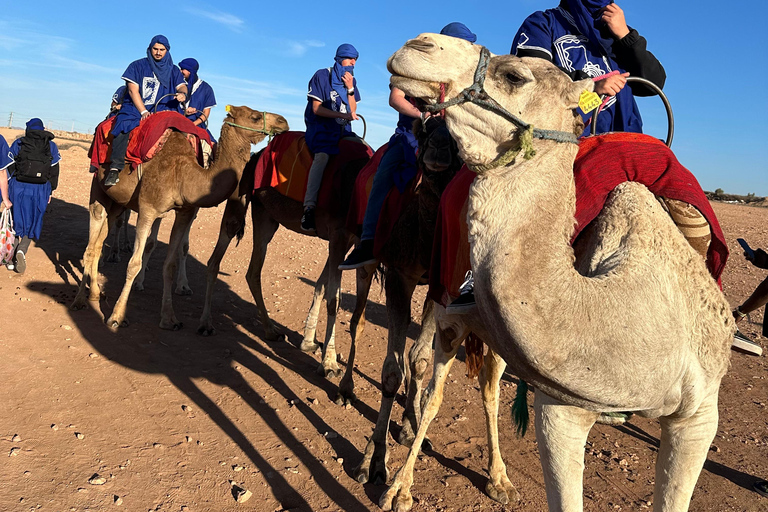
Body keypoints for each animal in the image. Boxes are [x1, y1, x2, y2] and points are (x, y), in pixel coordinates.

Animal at [72, 107, 290, 332]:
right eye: (254, 117)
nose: (283, 121)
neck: (184, 173)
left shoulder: (184, 213)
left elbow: (170, 265)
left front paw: (169, 318)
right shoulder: (148, 209)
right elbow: (134, 263)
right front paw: (117, 317)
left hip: (117, 203)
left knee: (99, 242)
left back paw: (96, 293)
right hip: (98, 189)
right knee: (91, 245)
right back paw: (79, 300)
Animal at [198, 135, 372, 380]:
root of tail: (256, 155)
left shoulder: (349, 242)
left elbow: (322, 286)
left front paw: (309, 343)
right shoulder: (338, 236)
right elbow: (334, 299)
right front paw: (329, 364)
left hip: (266, 216)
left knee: (253, 271)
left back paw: (271, 330)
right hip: (239, 201)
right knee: (216, 258)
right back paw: (206, 324)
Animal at [384, 34, 732, 510]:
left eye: (514, 75)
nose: (417, 44)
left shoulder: (699, 416)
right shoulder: (559, 410)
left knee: (488, 384)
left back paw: (498, 478)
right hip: (450, 309)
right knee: (432, 379)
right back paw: (401, 484)